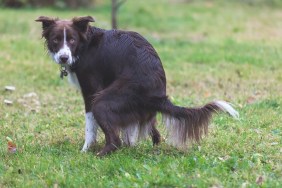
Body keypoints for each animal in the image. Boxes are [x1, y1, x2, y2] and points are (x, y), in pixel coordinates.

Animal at [34, 16, 238, 156]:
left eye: (72, 40)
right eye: (55, 40)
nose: (63, 58)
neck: (85, 44)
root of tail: (158, 96)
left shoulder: (91, 91)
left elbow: (89, 126)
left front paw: (85, 150)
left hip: (106, 101)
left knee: (115, 141)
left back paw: (101, 154)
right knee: (154, 133)